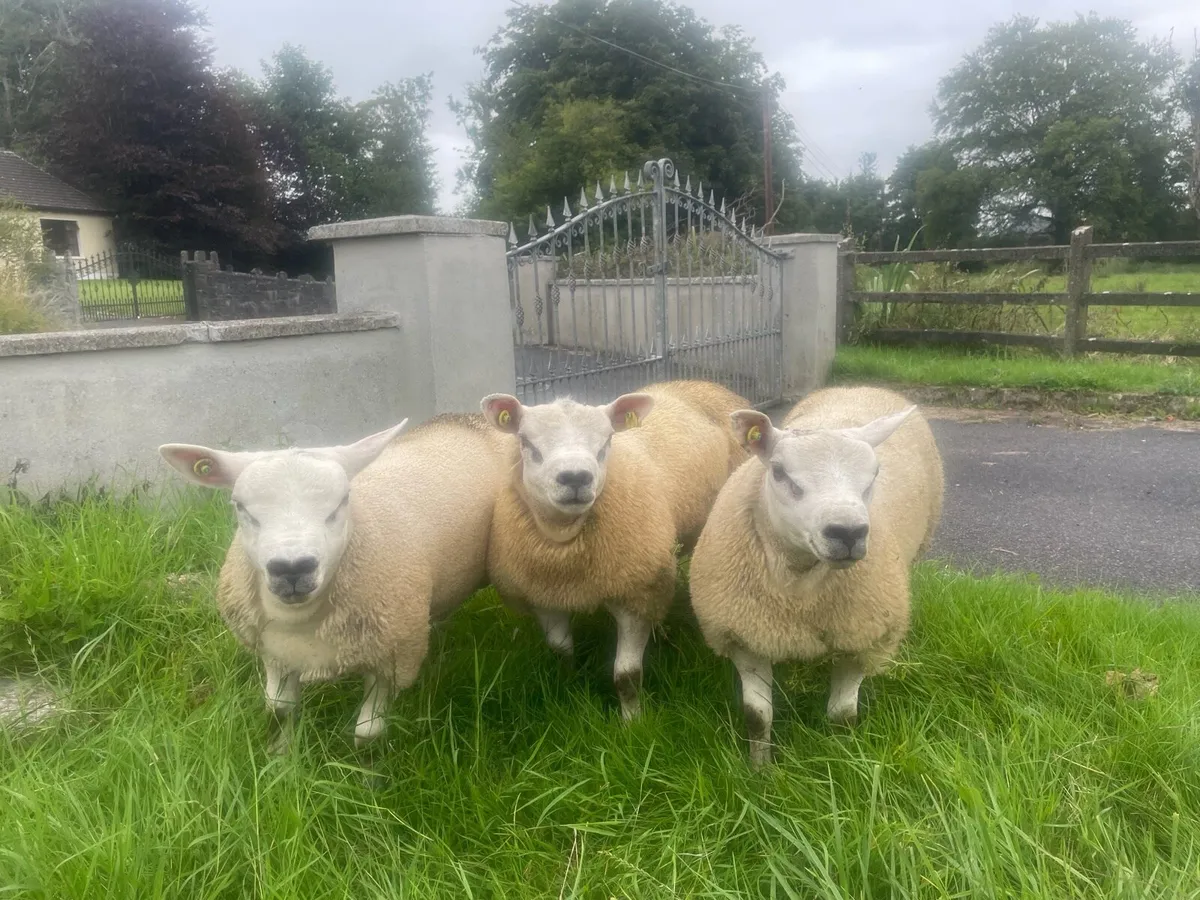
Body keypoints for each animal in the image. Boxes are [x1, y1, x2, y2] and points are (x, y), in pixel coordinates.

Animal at [158, 414, 510, 754]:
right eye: (241, 507)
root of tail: (467, 417)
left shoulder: (389, 661)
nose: (291, 568)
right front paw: (280, 760)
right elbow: (279, 711)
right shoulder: (275, 654)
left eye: (341, 502)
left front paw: (366, 772)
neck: (300, 622)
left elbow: (368, 733)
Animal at [479, 379, 750, 720]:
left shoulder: (635, 595)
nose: (576, 477)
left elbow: (626, 676)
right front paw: (568, 690)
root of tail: (702, 382)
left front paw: (633, 722)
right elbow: (560, 652)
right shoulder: (544, 597)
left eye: (607, 440)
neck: (567, 550)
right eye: (526, 441)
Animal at [687, 385, 944, 767]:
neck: (798, 591)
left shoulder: (860, 638)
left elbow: (844, 716)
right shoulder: (746, 636)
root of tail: (862, 387)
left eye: (874, 474)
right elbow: (756, 716)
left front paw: (842, 758)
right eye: (779, 471)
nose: (848, 532)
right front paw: (759, 770)